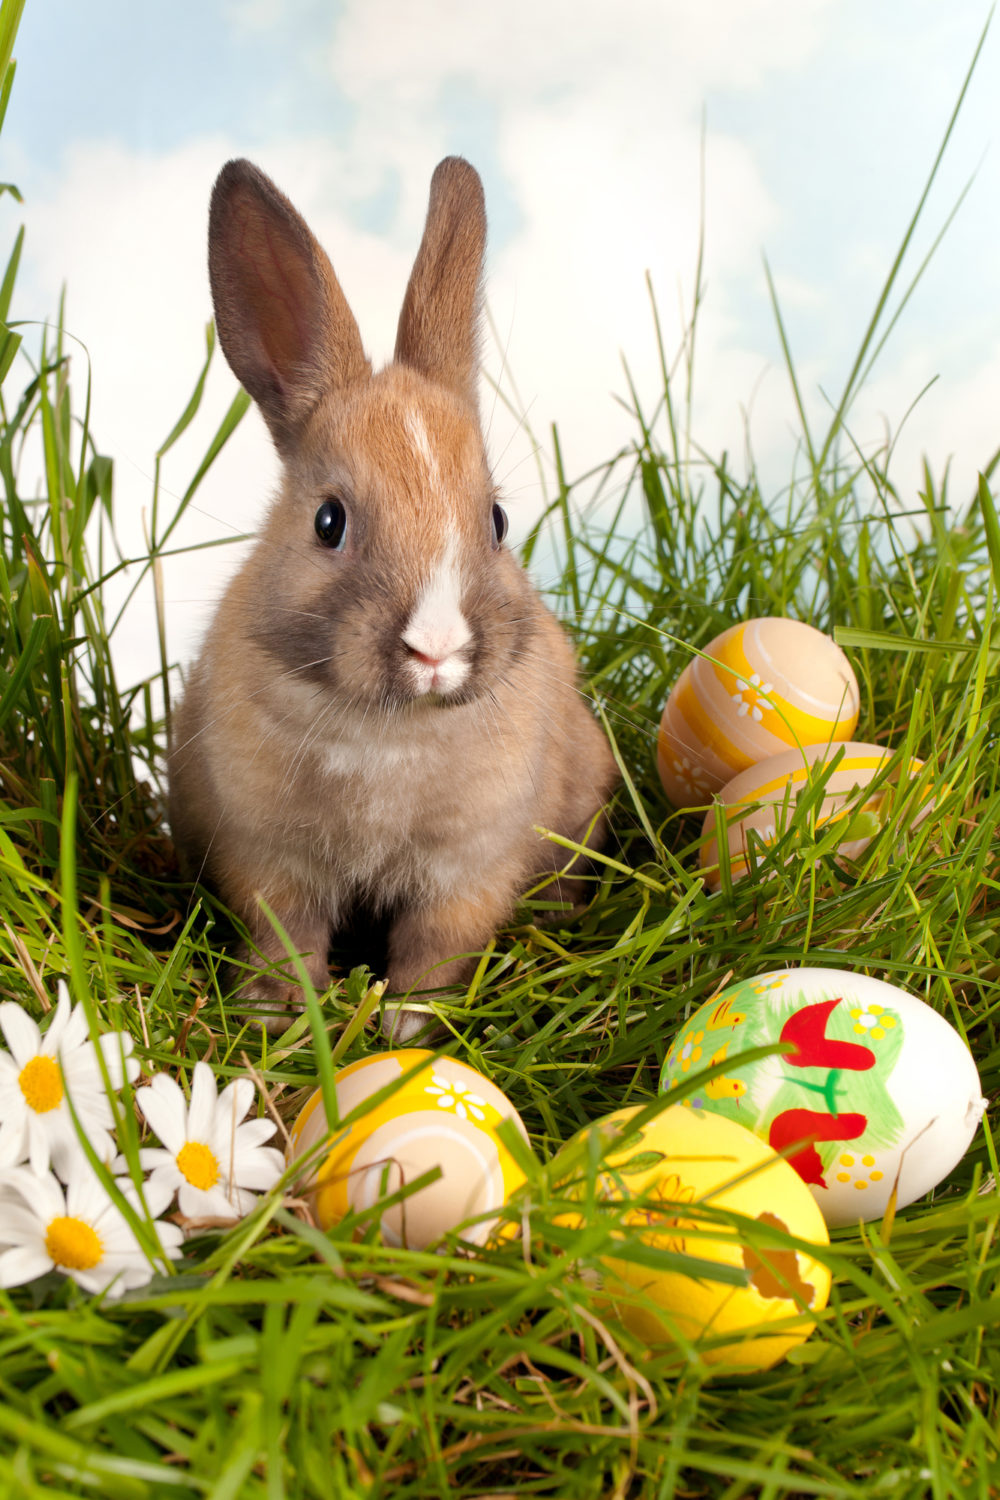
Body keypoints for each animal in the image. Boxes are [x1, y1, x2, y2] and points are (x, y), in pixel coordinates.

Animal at [167, 154, 619, 1041]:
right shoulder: (269, 858)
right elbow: (286, 934)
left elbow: (436, 947)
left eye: (496, 519)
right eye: (328, 521)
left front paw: (410, 1029)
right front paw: (277, 1015)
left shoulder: (469, 867)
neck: (390, 731)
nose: (436, 648)